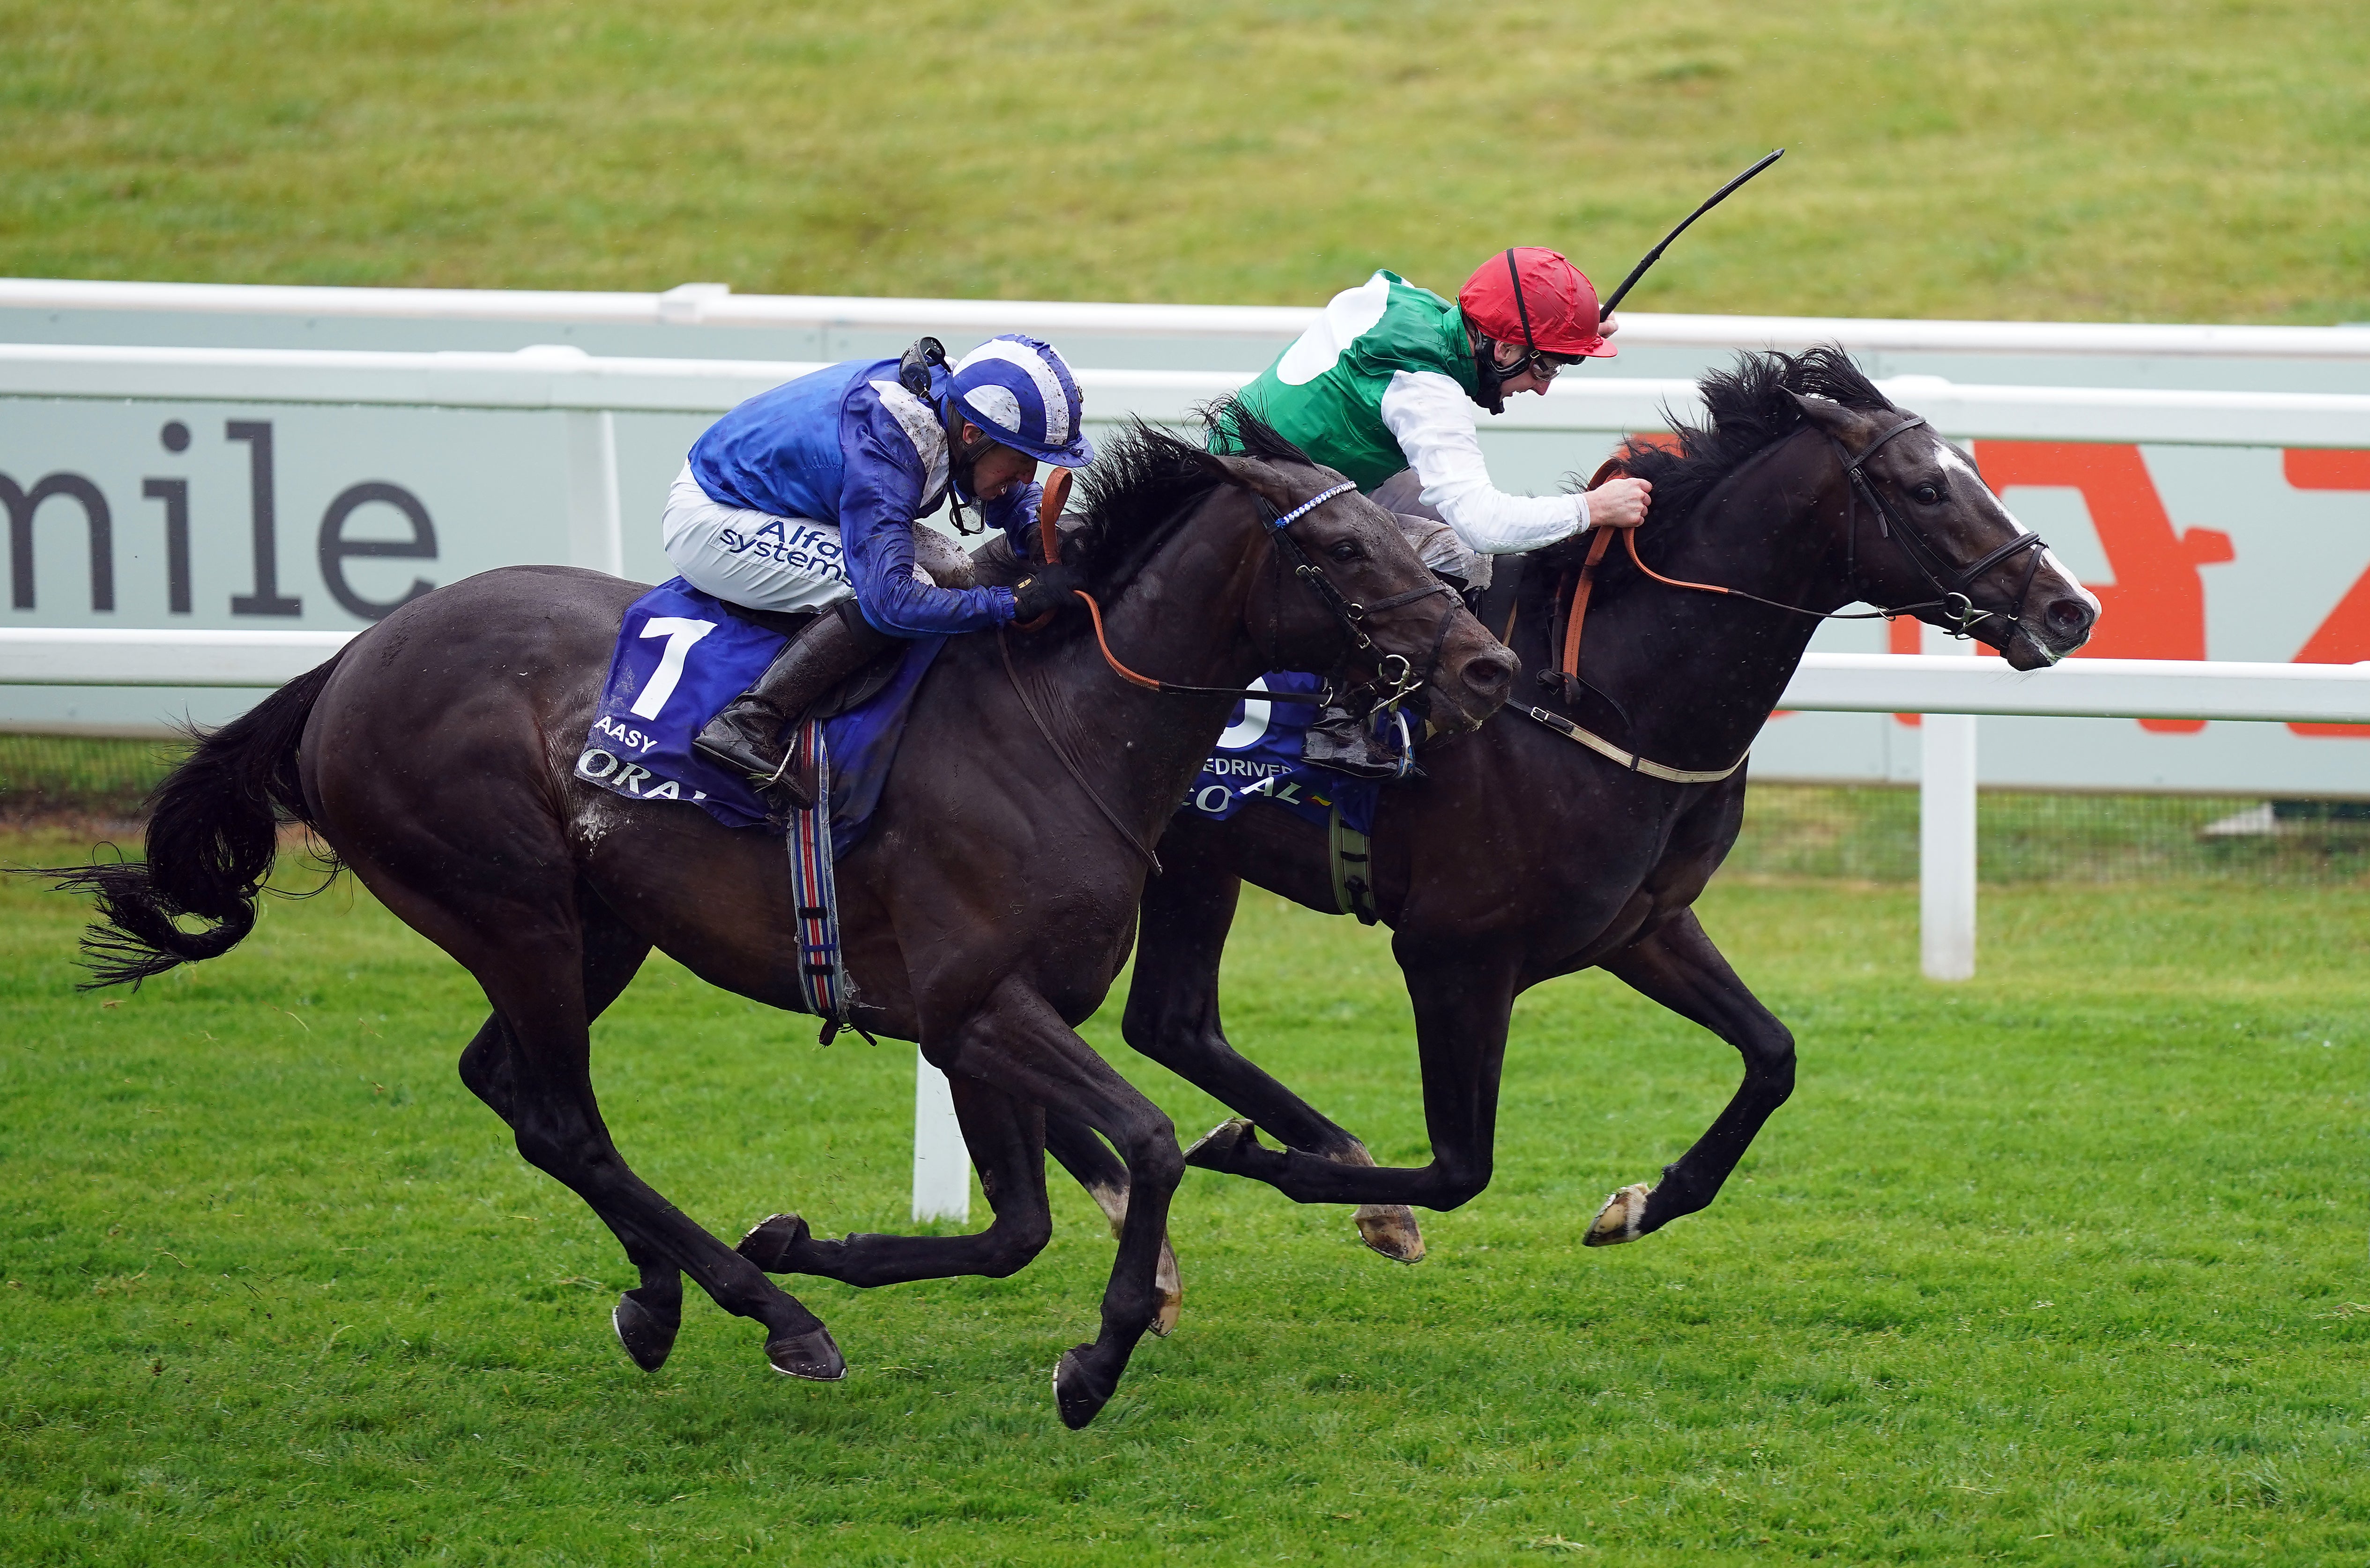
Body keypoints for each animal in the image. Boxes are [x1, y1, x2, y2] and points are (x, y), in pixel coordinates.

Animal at [42, 422, 1516, 1440]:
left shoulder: (968, 1023)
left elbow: (1017, 1224)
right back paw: (773, 1318)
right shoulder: (979, 1004)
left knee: (506, 1085)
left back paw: (668, 1294)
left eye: (1405, 536)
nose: (1485, 664)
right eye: (1343, 549)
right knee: (564, 1119)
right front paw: (1088, 1365)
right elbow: (1147, 1147)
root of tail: (350, 660)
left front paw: (810, 1243)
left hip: (594, 924)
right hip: (513, 908)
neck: (1063, 724)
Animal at [1071, 353, 2095, 1269]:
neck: (1605, 696)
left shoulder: (1640, 924)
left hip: (1195, 858)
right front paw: (1270, 1163)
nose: (2070, 609)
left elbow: (1773, 1054)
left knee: (1171, 1023)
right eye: (1925, 489)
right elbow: (1458, 1169)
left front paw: (1640, 1205)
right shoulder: (1453, 953)